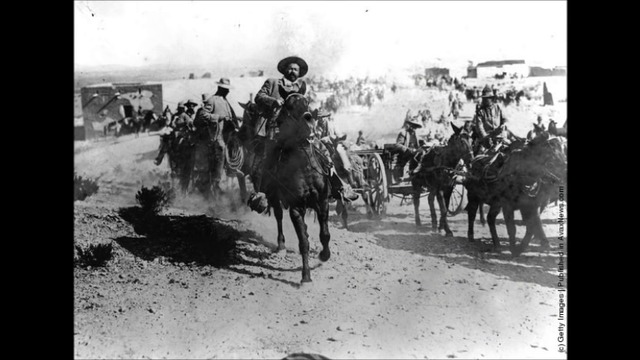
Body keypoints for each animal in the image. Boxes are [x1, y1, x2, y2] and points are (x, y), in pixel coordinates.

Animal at [262, 93, 332, 284]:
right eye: (289, 106)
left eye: (307, 102)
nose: (308, 118)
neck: (304, 166)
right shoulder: (296, 208)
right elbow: (303, 243)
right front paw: (305, 276)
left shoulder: (322, 201)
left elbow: (325, 235)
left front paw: (324, 255)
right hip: (274, 198)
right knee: (279, 217)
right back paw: (281, 246)